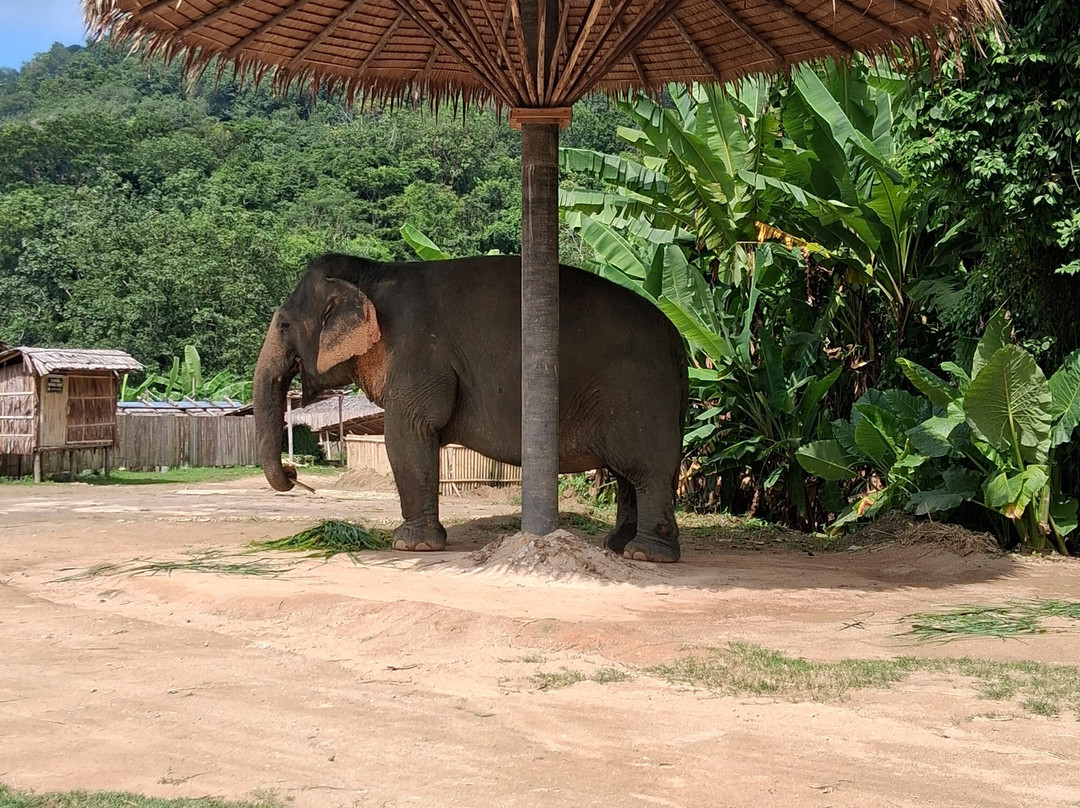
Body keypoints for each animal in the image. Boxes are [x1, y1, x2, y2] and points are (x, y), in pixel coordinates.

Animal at [254, 253, 688, 562]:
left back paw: (645, 554)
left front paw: (412, 546)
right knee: (628, 475)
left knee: (645, 471)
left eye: (283, 325)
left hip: (639, 394)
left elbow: (409, 432)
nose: (295, 474)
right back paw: (618, 545)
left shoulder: (416, 353)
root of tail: (678, 340)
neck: (372, 273)